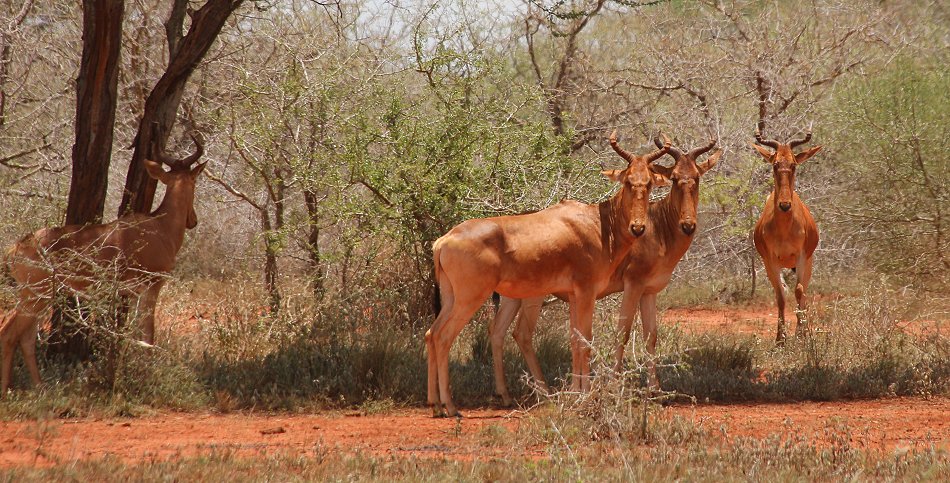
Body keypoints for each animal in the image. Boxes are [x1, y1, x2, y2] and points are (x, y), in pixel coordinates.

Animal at [0, 134, 207, 396]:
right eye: (194, 181)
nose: (193, 220)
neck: (158, 226)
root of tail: (16, 248)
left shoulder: (135, 294)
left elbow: (137, 335)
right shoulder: (152, 288)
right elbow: (149, 336)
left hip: (42, 297)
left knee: (25, 338)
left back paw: (40, 388)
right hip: (35, 295)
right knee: (9, 334)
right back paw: (8, 390)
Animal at [428, 133, 672, 420]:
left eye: (649, 182)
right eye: (627, 181)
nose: (638, 228)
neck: (597, 224)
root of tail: (444, 240)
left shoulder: (575, 296)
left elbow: (575, 341)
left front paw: (577, 394)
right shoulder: (587, 292)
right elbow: (586, 341)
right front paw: (586, 397)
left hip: (451, 298)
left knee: (432, 333)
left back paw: (435, 404)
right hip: (471, 298)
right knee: (444, 337)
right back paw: (451, 407)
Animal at [490, 133, 720, 404]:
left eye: (696, 176)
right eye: (673, 177)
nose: (688, 225)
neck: (655, 226)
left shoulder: (649, 291)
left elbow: (650, 335)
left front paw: (655, 392)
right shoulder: (633, 284)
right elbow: (622, 332)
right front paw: (612, 387)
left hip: (512, 296)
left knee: (498, 332)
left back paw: (507, 394)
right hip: (533, 295)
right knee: (522, 333)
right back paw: (544, 393)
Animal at [756, 126, 820, 342]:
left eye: (793, 164)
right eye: (775, 164)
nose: (785, 205)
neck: (784, 228)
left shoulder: (801, 256)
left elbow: (799, 292)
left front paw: (800, 335)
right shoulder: (770, 261)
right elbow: (780, 296)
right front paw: (780, 339)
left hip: (808, 262)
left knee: (805, 293)